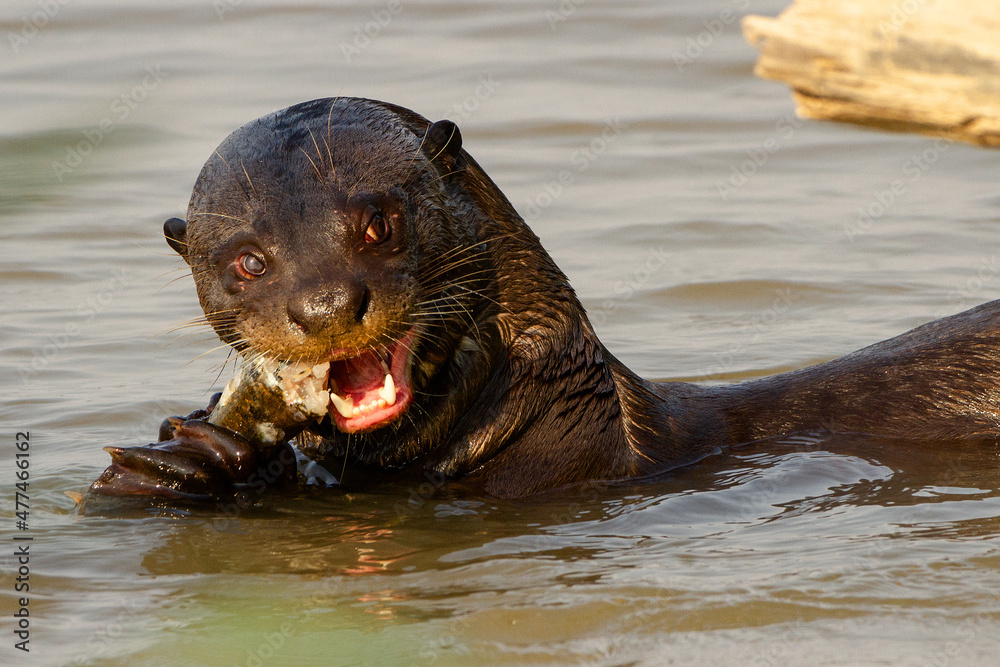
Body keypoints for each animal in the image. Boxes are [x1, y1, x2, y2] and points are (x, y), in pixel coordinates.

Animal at [90, 99, 1000, 504]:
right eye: (247, 259)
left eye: (379, 220)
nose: (322, 305)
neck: (560, 405)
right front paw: (178, 456)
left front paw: (202, 457)